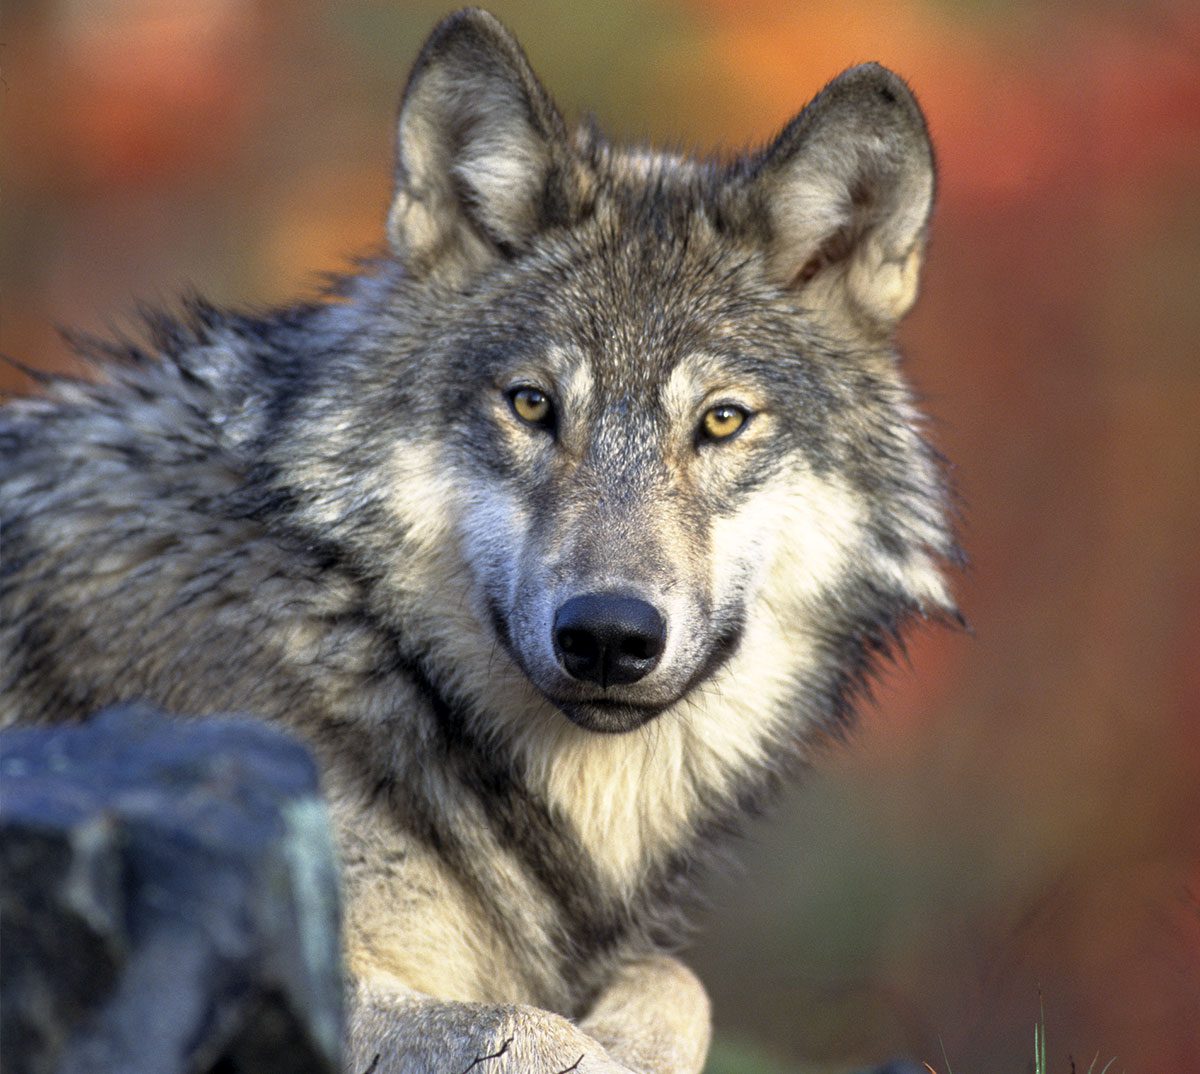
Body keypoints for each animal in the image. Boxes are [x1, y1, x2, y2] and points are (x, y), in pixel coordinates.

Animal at [0, 8, 955, 1074]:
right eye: (532, 405)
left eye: (721, 421)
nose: (609, 636)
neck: (358, 635)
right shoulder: (271, 959)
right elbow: (529, 1025)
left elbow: (678, 983)